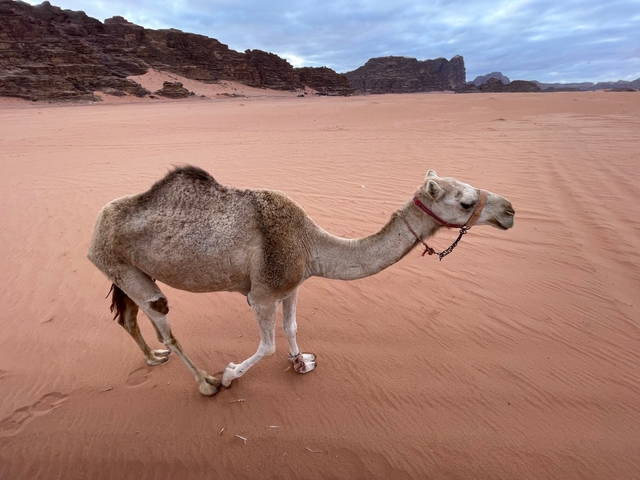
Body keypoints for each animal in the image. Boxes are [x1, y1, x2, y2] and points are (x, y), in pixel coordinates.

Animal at [87, 166, 515, 396]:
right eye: (465, 201)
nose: (509, 210)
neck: (310, 244)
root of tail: (95, 231)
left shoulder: (292, 285)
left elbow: (291, 327)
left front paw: (301, 361)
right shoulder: (261, 294)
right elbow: (267, 346)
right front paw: (230, 374)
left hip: (129, 271)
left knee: (129, 317)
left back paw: (152, 358)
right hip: (116, 263)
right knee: (163, 321)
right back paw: (206, 382)